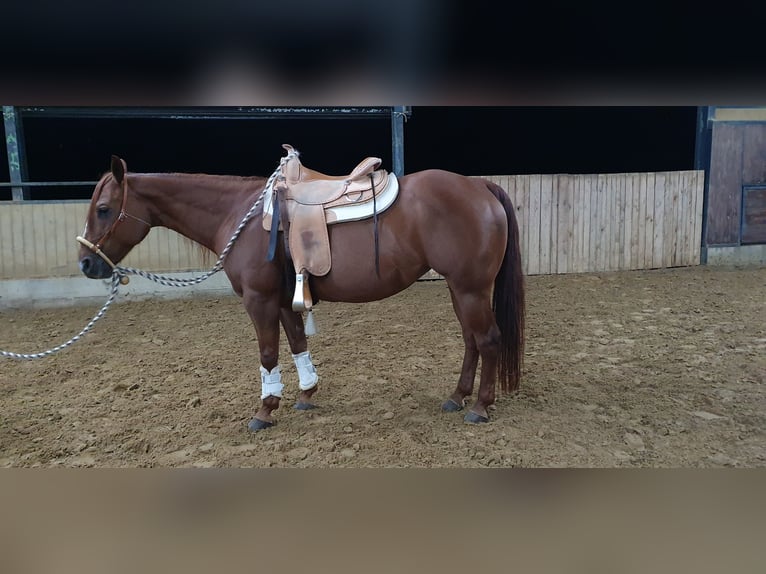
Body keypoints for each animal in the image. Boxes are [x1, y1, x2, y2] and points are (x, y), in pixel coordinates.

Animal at [78, 152, 524, 432]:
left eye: (103, 209)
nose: (85, 264)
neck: (240, 215)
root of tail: (481, 188)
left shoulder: (258, 300)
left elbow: (268, 353)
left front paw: (264, 410)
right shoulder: (282, 300)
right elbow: (296, 344)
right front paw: (306, 395)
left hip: (469, 288)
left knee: (488, 339)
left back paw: (480, 407)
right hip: (460, 289)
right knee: (471, 340)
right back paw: (457, 396)